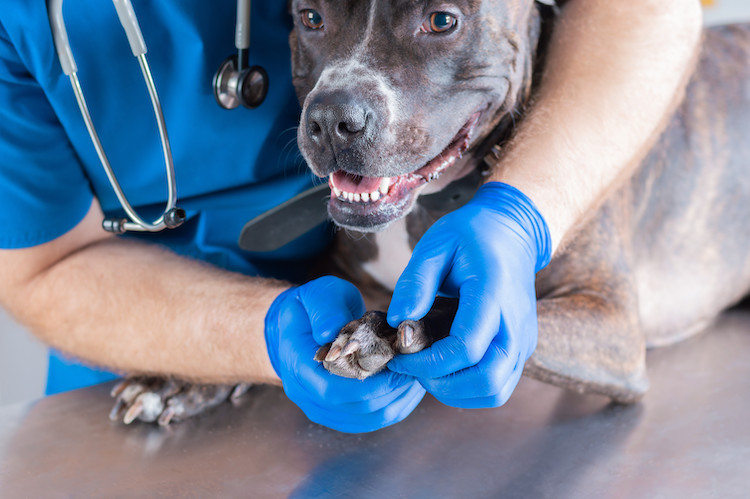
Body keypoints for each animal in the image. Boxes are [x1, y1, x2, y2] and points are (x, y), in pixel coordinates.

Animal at [111, 0, 750, 426]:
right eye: (311, 17)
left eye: (442, 20)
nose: (332, 119)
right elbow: (290, 296)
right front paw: (176, 379)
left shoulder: (609, 318)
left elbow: (483, 308)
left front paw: (383, 332)